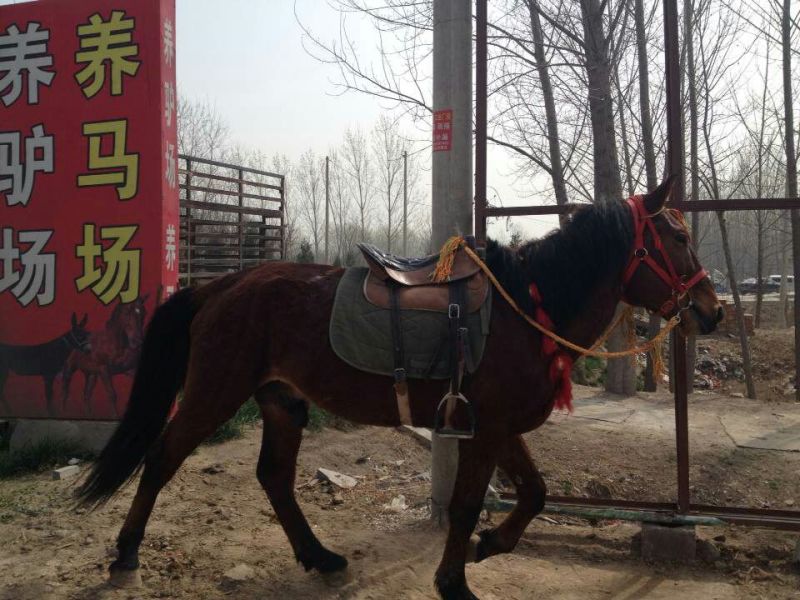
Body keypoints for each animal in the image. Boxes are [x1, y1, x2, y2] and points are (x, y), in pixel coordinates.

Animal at [77, 178, 722, 599]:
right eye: (677, 237)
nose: (712, 310)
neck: (529, 306)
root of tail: (223, 285)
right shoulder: (486, 428)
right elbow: (464, 506)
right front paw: (455, 581)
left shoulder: (500, 425)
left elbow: (536, 493)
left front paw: (489, 544)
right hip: (215, 391)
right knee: (162, 457)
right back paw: (127, 553)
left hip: (282, 401)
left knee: (275, 478)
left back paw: (319, 556)